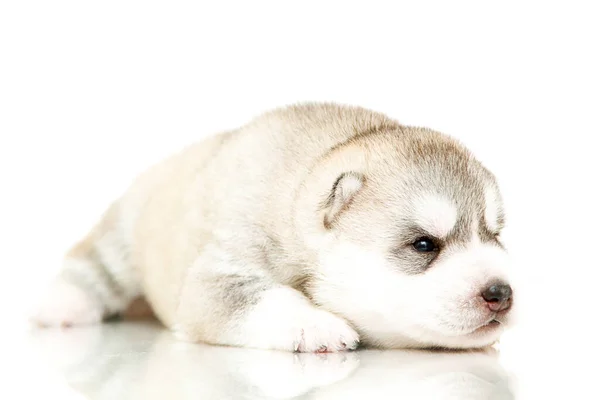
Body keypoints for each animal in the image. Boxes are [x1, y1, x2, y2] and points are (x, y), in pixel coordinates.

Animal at [32, 101, 512, 352]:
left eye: (494, 235)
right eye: (424, 244)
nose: (500, 293)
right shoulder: (219, 274)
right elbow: (260, 297)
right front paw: (316, 325)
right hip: (127, 229)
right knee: (95, 263)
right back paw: (63, 303)